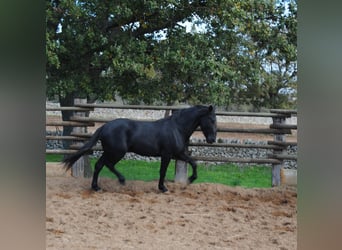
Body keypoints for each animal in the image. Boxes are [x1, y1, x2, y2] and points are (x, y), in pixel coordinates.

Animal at [62, 104, 216, 192]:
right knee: (107, 165)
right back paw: (120, 181)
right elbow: (163, 171)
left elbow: (193, 163)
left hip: (110, 151)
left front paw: (190, 179)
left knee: (100, 165)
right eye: (212, 119)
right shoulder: (166, 154)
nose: (212, 140)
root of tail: (105, 126)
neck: (176, 128)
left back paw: (96, 187)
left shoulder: (178, 154)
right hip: (117, 152)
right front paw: (163, 188)